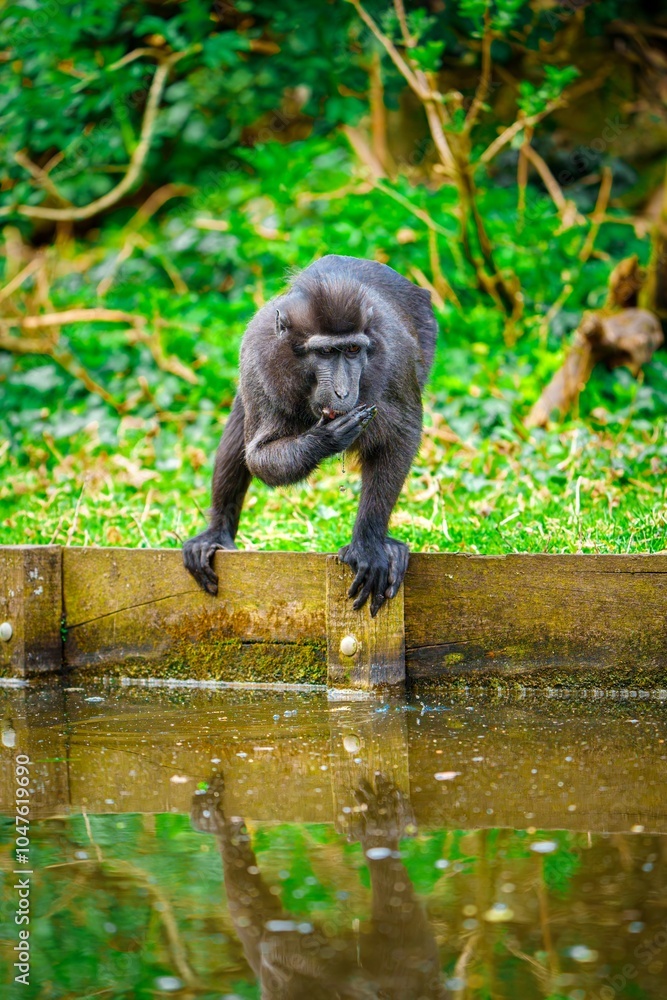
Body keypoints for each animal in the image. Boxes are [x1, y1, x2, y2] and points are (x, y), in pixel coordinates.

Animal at [183, 255, 437, 617]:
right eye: (326, 352)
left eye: (353, 350)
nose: (343, 391)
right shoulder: (260, 359)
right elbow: (258, 457)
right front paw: (325, 439)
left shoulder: (395, 358)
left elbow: (401, 435)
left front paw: (369, 546)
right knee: (240, 424)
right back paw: (216, 534)